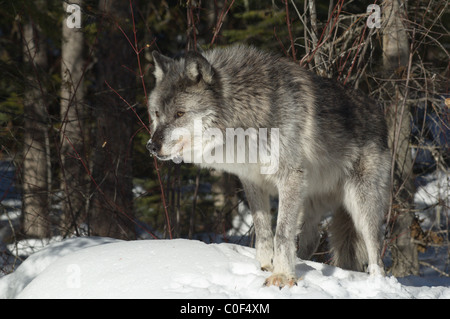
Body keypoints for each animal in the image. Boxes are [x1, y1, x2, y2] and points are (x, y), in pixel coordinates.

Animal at [145, 45, 390, 290]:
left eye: (179, 114)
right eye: (156, 113)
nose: (151, 146)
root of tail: (378, 110)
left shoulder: (289, 177)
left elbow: (281, 234)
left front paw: (281, 276)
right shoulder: (252, 181)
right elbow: (263, 231)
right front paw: (264, 267)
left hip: (360, 202)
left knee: (375, 248)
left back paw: (377, 283)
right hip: (308, 203)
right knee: (312, 239)